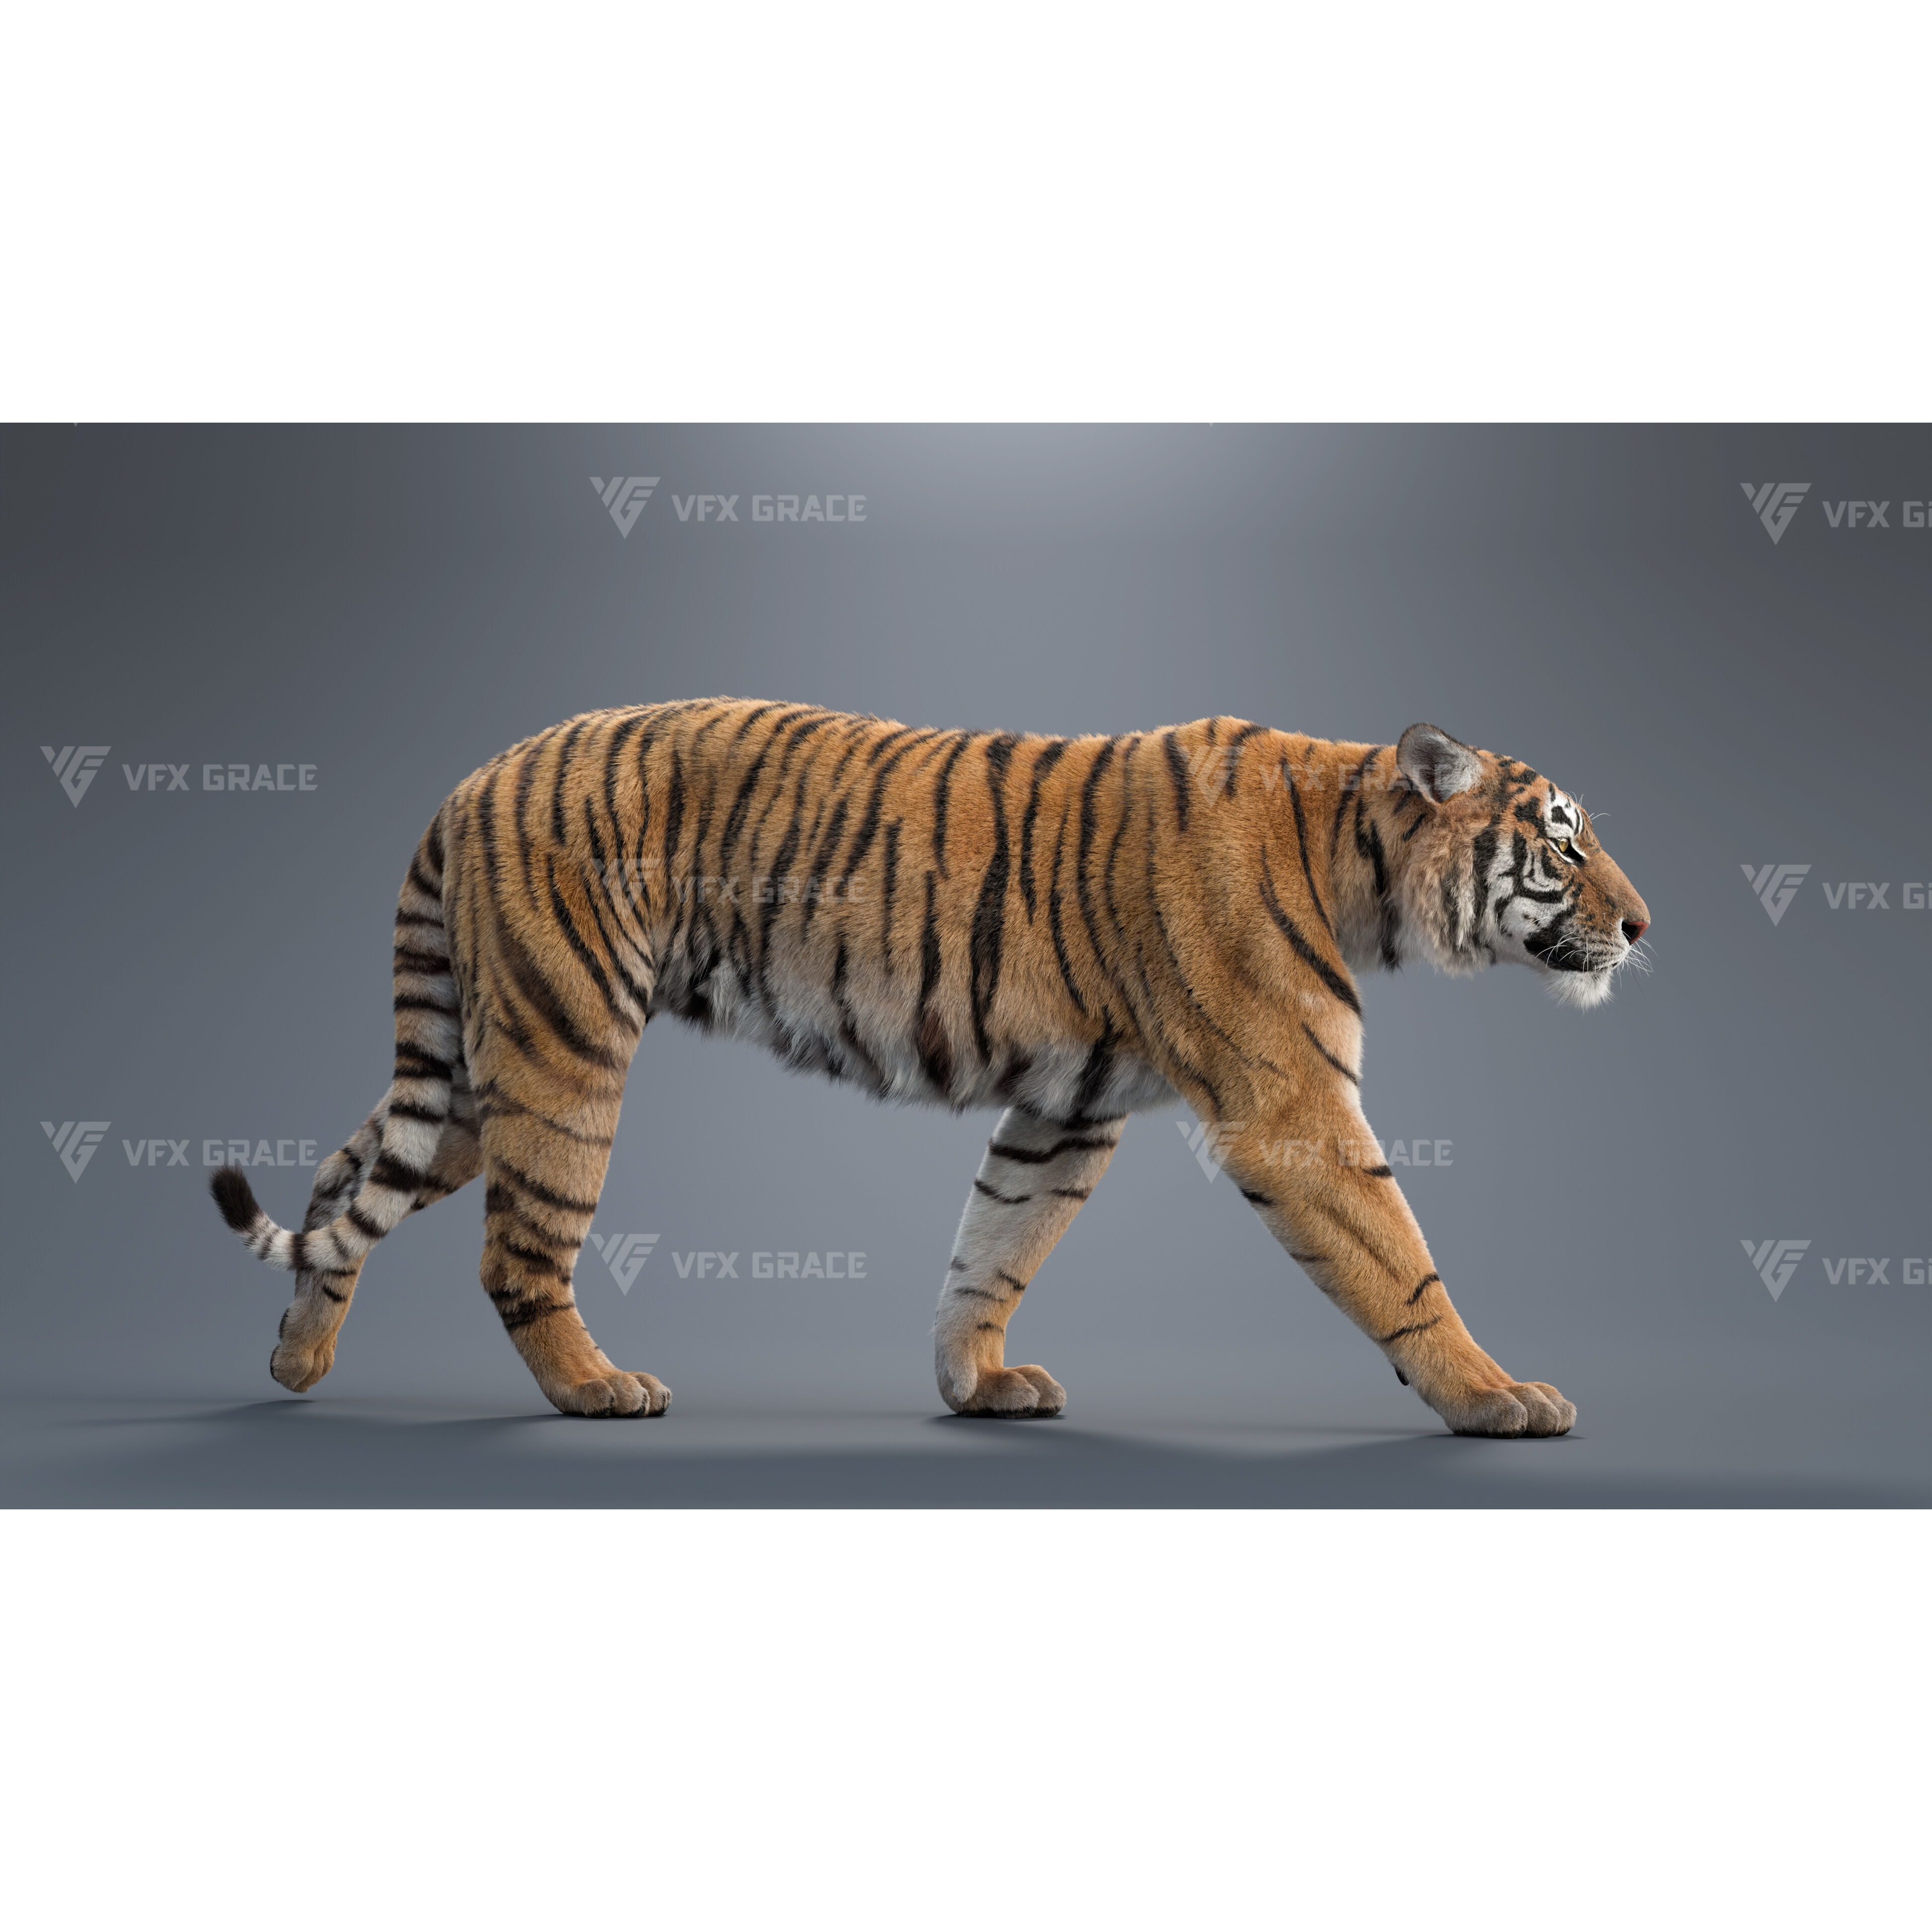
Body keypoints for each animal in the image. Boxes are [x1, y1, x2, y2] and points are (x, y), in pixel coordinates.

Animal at [210, 699, 1650, 1436]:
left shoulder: (1067, 1104)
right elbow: (1398, 1261)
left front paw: (975, 1382)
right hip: (565, 1047)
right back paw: (595, 1388)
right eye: (1564, 842)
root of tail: (474, 773)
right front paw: (1496, 1395)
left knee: (345, 1188)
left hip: (474, 1063)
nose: (1646, 927)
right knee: (514, 1250)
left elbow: (994, 1246)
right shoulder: (1288, 1105)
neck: (1360, 859)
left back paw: (295, 1360)